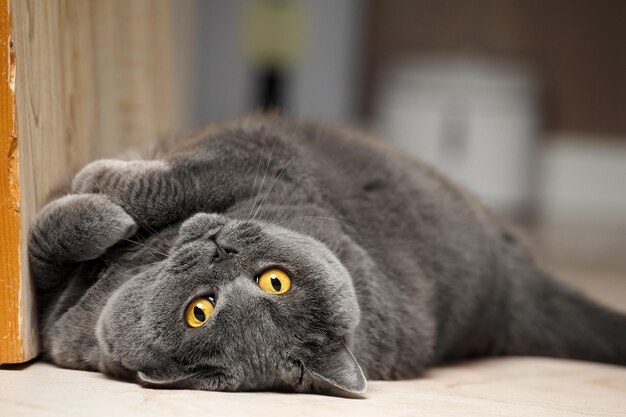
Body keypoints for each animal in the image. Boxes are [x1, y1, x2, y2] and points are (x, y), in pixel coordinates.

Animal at [30, 115, 624, 394]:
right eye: (277, 281)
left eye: (199, 311)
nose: (219, 249)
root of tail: (510, 295)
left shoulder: (256, 159)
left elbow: (155, 187)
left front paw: (99, 194)